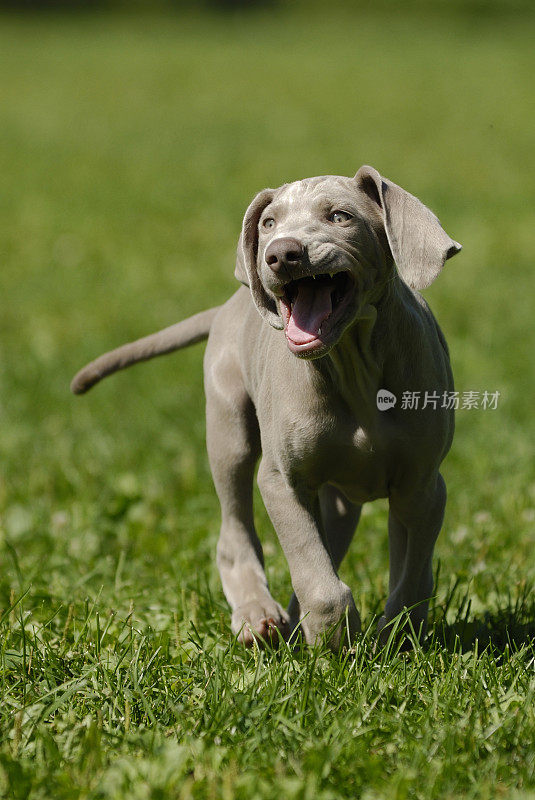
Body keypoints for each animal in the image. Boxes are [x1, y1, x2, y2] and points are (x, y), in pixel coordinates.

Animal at [73, 166, 462, 648]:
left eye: (340, 216)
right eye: (269, 223)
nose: (281, 255)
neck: (353, 364)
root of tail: (229, 304)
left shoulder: (422, 484)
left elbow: (412, 572)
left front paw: (400, 633)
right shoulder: (281, 480)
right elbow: (312, 568)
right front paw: (334, 636)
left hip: (342, 495)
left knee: (333, 535)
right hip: (230, 432)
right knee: (236, 528)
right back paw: (257, 615)